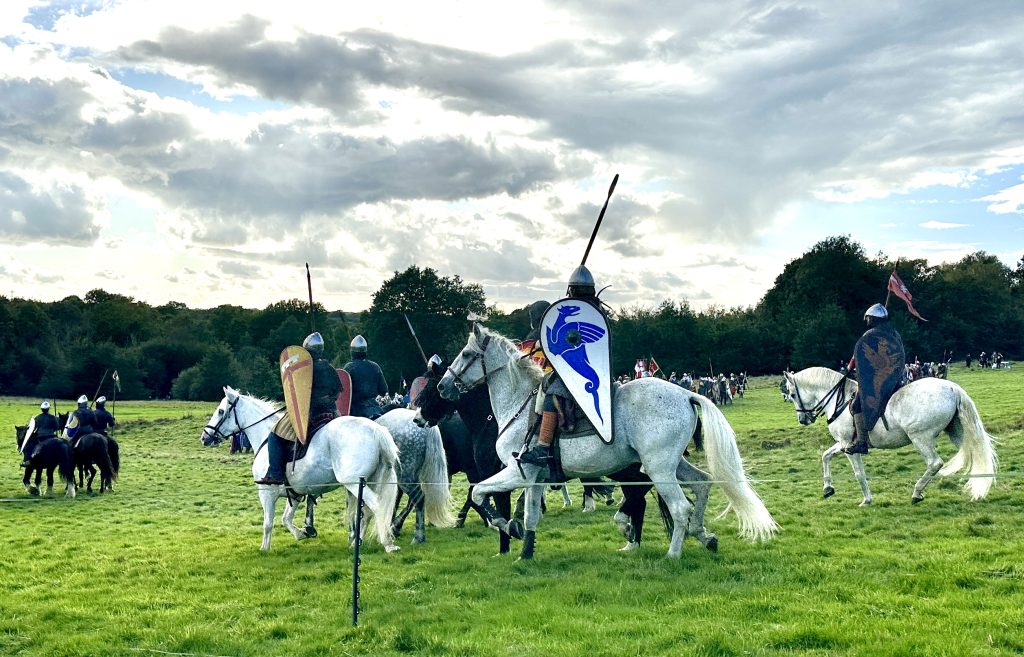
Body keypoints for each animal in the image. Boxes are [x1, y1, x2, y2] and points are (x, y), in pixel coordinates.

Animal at [201, 386, 401, 548]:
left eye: (220, 411)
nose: (205, 437)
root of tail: (376, 430)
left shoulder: (266, 493)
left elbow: (268, 524)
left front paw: (264, 549)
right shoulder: (296, 493)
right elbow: (286, 519)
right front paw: (302, 533)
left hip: (354, 483)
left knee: (375, 506)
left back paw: (387, 543)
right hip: (370, 481)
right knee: (367, 512)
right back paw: (357, 543)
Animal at [434, 323, 774, 556]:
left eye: (466, 354)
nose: (442, 386)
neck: (518, 403)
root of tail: (686, 393)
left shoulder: (518, 471)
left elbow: (480, 492)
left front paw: (506, 526)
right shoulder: (535, 478)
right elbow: (529, 515)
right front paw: (525, 550)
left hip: (659, 468)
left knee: (679, 508)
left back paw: (674, 553)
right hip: (671, 464)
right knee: (702, 485)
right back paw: (704, 535)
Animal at [782, 366, 991, 503]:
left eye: (792, 394)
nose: (803, 419)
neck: (838, 400)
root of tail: (952, 388)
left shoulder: (849, 446)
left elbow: (859, 473)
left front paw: (867, 500)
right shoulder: (843, 444)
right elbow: (825, 456)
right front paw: (827, 488)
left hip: (920, 438)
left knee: (934, 463)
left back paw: (917, 493)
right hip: (956, 433)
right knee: (972, 454)